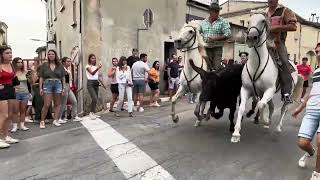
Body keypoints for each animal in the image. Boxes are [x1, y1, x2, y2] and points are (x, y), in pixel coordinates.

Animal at [231, 11, 304, 143]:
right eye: (248, 21)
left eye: (263, 21)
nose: (251, 37)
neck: (256, 65)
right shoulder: (245, 89)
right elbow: (241, 108)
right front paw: (236, 134)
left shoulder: (269, 89)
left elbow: (260, 105)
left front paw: (264, 120)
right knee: (271, 106)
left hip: (286, 93)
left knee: (283, 109)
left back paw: (277, 127)